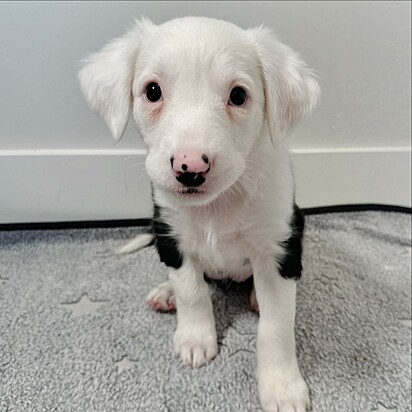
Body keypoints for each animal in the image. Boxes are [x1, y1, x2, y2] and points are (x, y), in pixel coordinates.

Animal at [79, 16, 320, 412]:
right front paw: (195, 338)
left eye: (238, 96)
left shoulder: (278, 245)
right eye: (153, 91)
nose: (190, 167)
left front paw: (282, 387)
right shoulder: (172, 234)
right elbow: (191, 290)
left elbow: (276, 325)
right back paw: (166, 294)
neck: (218, 205)